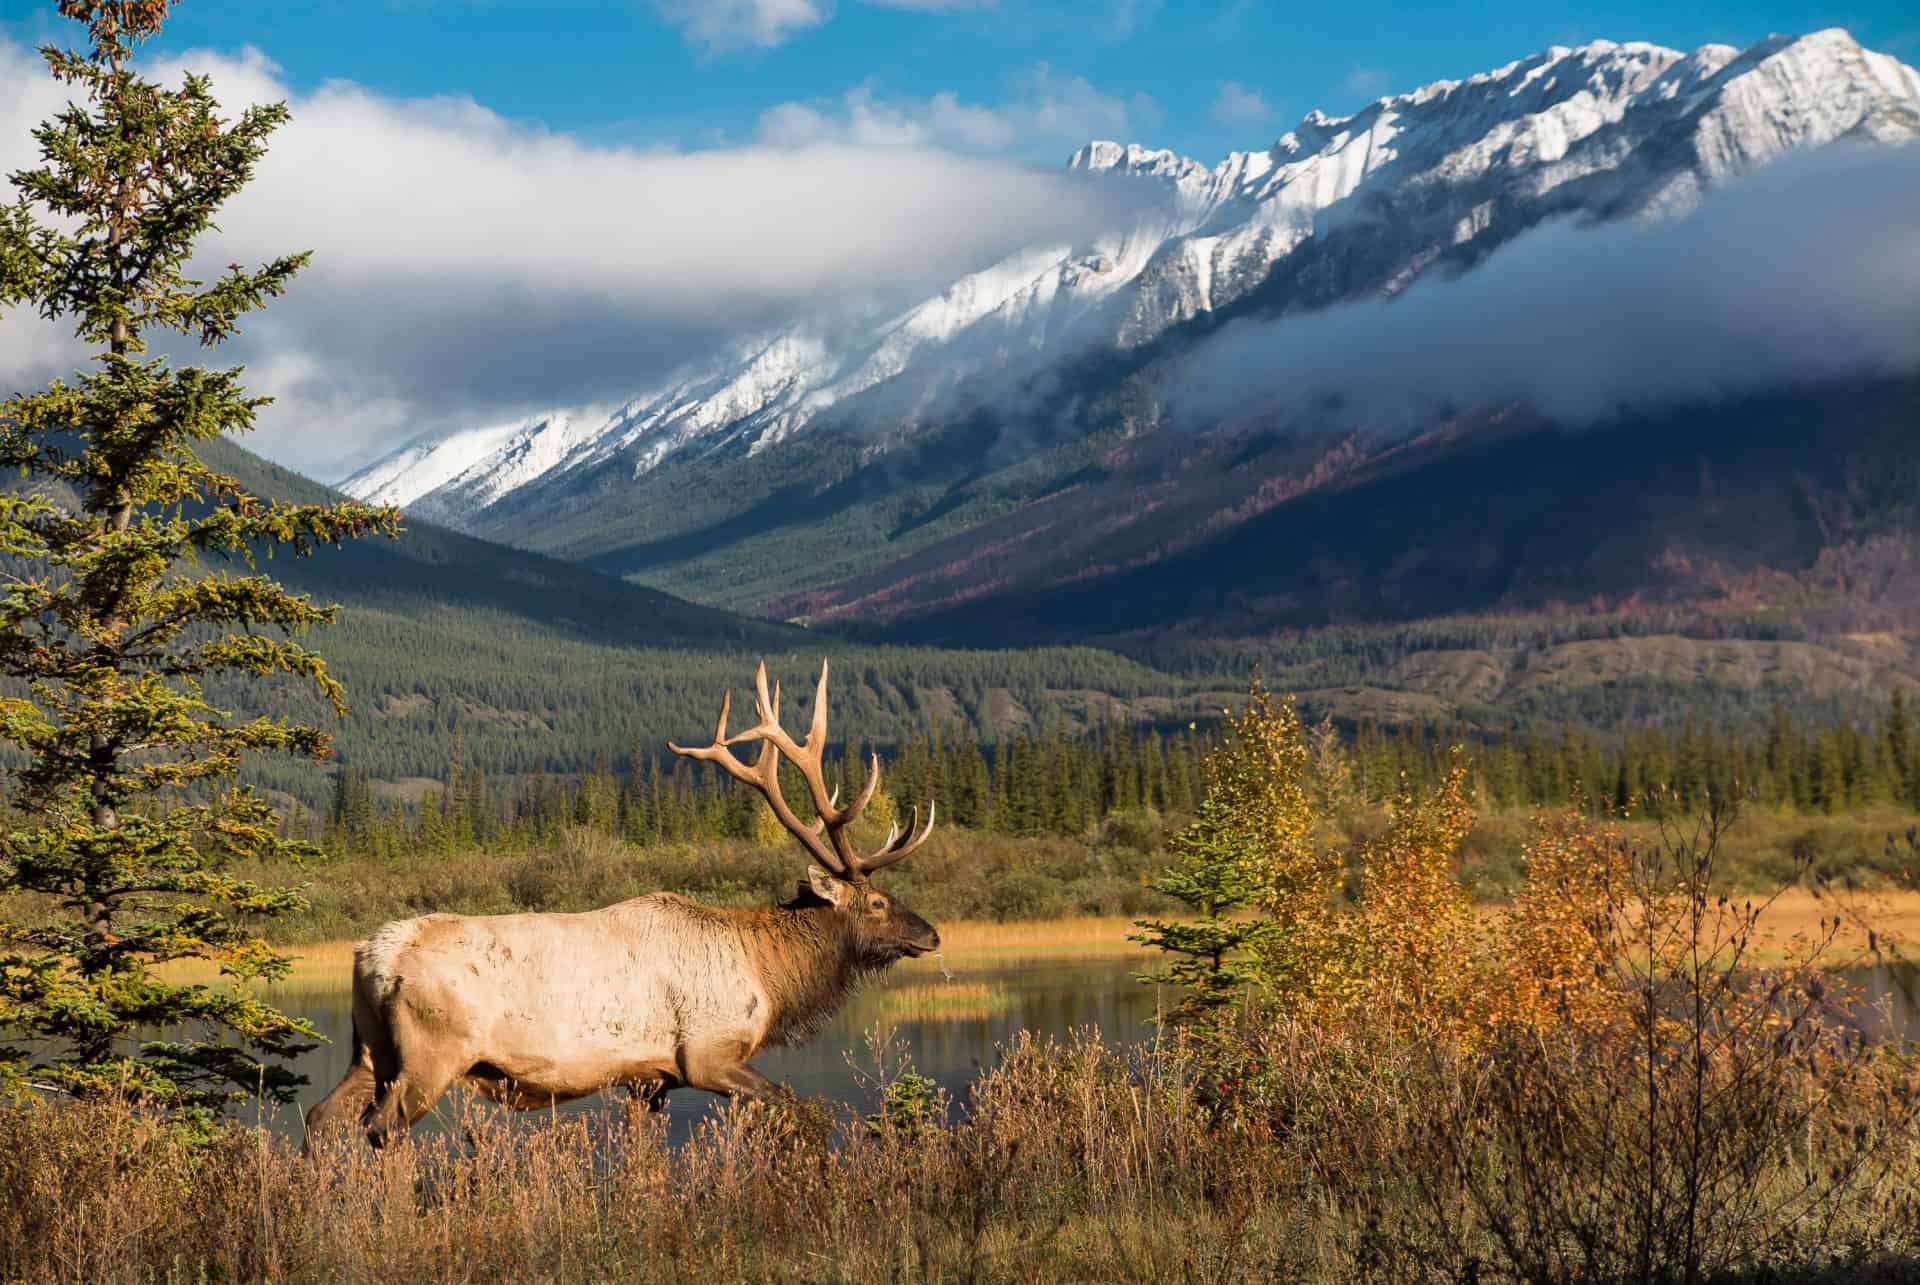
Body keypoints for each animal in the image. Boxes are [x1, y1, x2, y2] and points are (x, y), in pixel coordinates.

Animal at [303, 660, 940, 1144]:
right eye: (877, 903)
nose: (930, 934)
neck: (769, 975)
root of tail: (374, 956)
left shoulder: (648, 1079)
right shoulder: (706, 1055)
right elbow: (792, 1105)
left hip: (370, 1050)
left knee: (320, 1117)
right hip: (430, 1055)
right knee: (380, 1129)